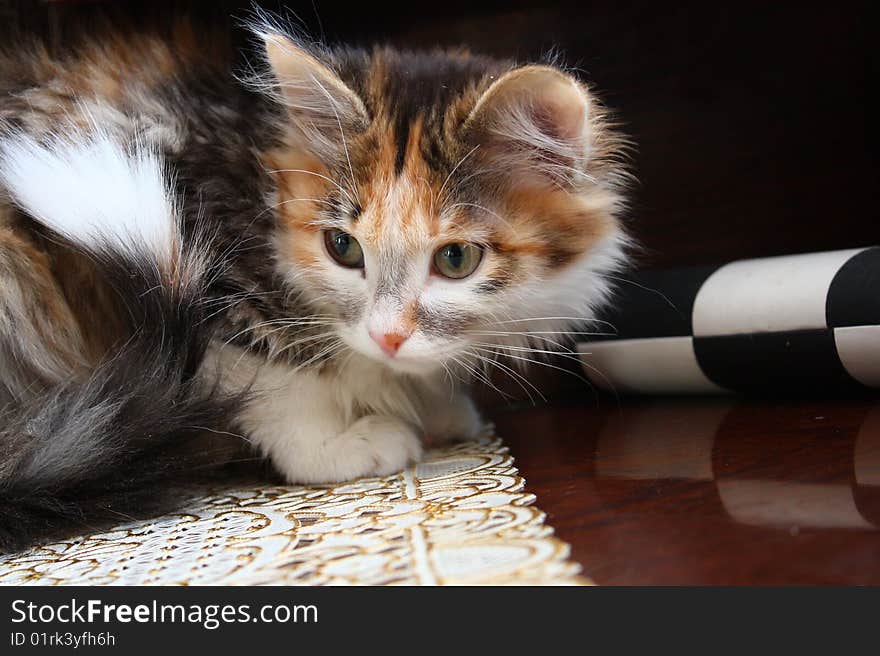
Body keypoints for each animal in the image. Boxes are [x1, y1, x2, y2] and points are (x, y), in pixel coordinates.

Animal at [0, 16, 632, 548]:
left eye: (455, 260)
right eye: (343, 248)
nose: (387, 336)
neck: (259, 176)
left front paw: (432, 406)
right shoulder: (205, 267)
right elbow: (281, 377)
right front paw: (339, 444)